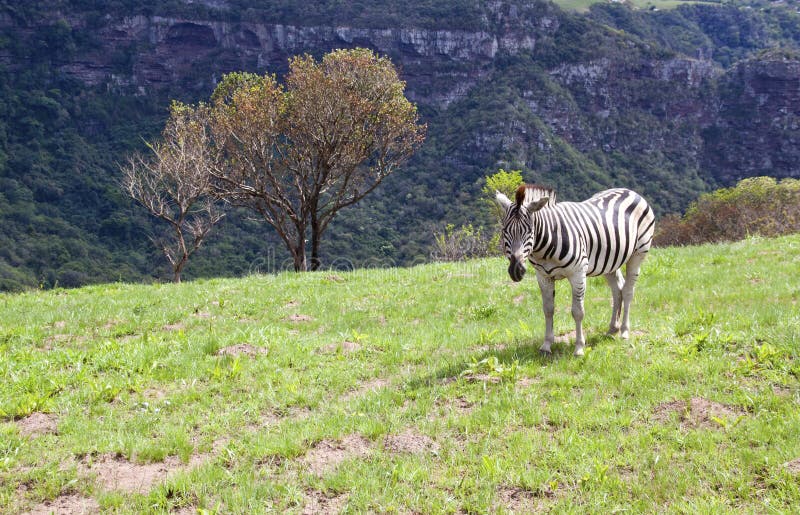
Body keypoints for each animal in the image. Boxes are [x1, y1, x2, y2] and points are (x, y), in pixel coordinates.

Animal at [495, 184, 655, 356]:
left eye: (530, 231)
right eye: (504, 230)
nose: (516, 270)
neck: (545, 248)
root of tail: (629, 191)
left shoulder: (578, 273)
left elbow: (577, 311)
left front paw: (579, 348)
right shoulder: (543, 276)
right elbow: (548, 310)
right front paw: (546, 345)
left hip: (638, 254)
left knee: (627, 291)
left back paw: (624, 332)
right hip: (610, 261)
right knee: (617, 290)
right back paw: (613, 329)